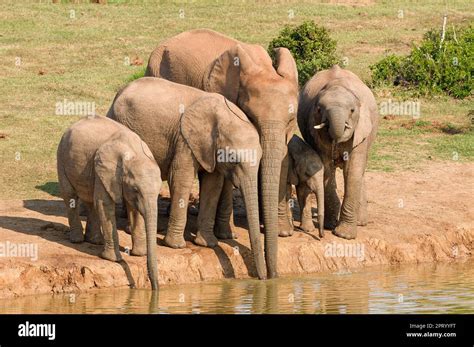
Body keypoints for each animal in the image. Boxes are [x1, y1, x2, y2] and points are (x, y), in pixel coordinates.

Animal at [56, 115, 161, 290]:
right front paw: (113, 259)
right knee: (70, 196)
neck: (134, 152)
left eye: (159, 190)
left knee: (90, 200)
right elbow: (104, 205)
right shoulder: (105, 171)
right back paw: (77, 240)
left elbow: (134, 210)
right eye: (136, 189)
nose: (154, 288)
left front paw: (139, 254)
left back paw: (95, 241)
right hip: (62, 156)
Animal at [107, 77, 266, 282]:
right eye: (233, 158)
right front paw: (176, 245)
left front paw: (207, 243)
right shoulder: (184, 140)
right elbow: (181, 177)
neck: (222, 115)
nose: (263, 278)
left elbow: (213, 185)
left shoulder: (208, 148)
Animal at [146, 28, 298, 278]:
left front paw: (284, 232)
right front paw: (227, 235)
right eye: (251, 117)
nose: (272, 276)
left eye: (291, 120)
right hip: (156, 69)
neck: (262, 67)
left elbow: (282, 161)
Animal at [298, 66, 380, 239]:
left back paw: (361, 223)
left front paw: (344, 235)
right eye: (319, 109)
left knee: (359, 171)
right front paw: (331, 226)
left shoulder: (361, 130)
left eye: (352, 110)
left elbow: (352, 171)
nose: (336, 145)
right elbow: (326, 168)